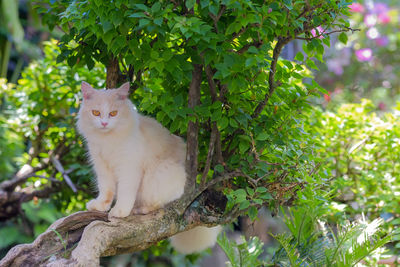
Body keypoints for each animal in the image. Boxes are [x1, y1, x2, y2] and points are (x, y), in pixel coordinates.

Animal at [76, 82, 220, 254]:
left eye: (113, 113)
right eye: (96, 113)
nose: (104, 123)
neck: (107, 139)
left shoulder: (129, 167)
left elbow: (125, 192)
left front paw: (120, 211)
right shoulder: (102, 167)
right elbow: (106, 190)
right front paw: (100, 206)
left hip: (159, 174)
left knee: (160, 203)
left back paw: (140, 209)